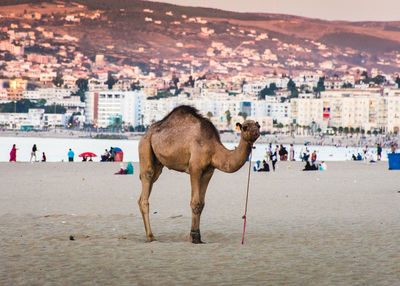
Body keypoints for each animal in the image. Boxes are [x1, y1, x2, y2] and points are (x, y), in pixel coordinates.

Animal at [139, 105, 260, 244]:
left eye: (258, 125)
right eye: (245, 127)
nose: (256, 132)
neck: (213, 148)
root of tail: (146, 133)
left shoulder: (209, 171)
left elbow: (201, 204)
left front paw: (198, 237)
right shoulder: (195, 168)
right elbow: (195, 202)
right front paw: (195, 237)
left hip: (158, 163)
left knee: (146, 188)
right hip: (145, 146)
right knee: (147, 179)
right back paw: (151, 236)